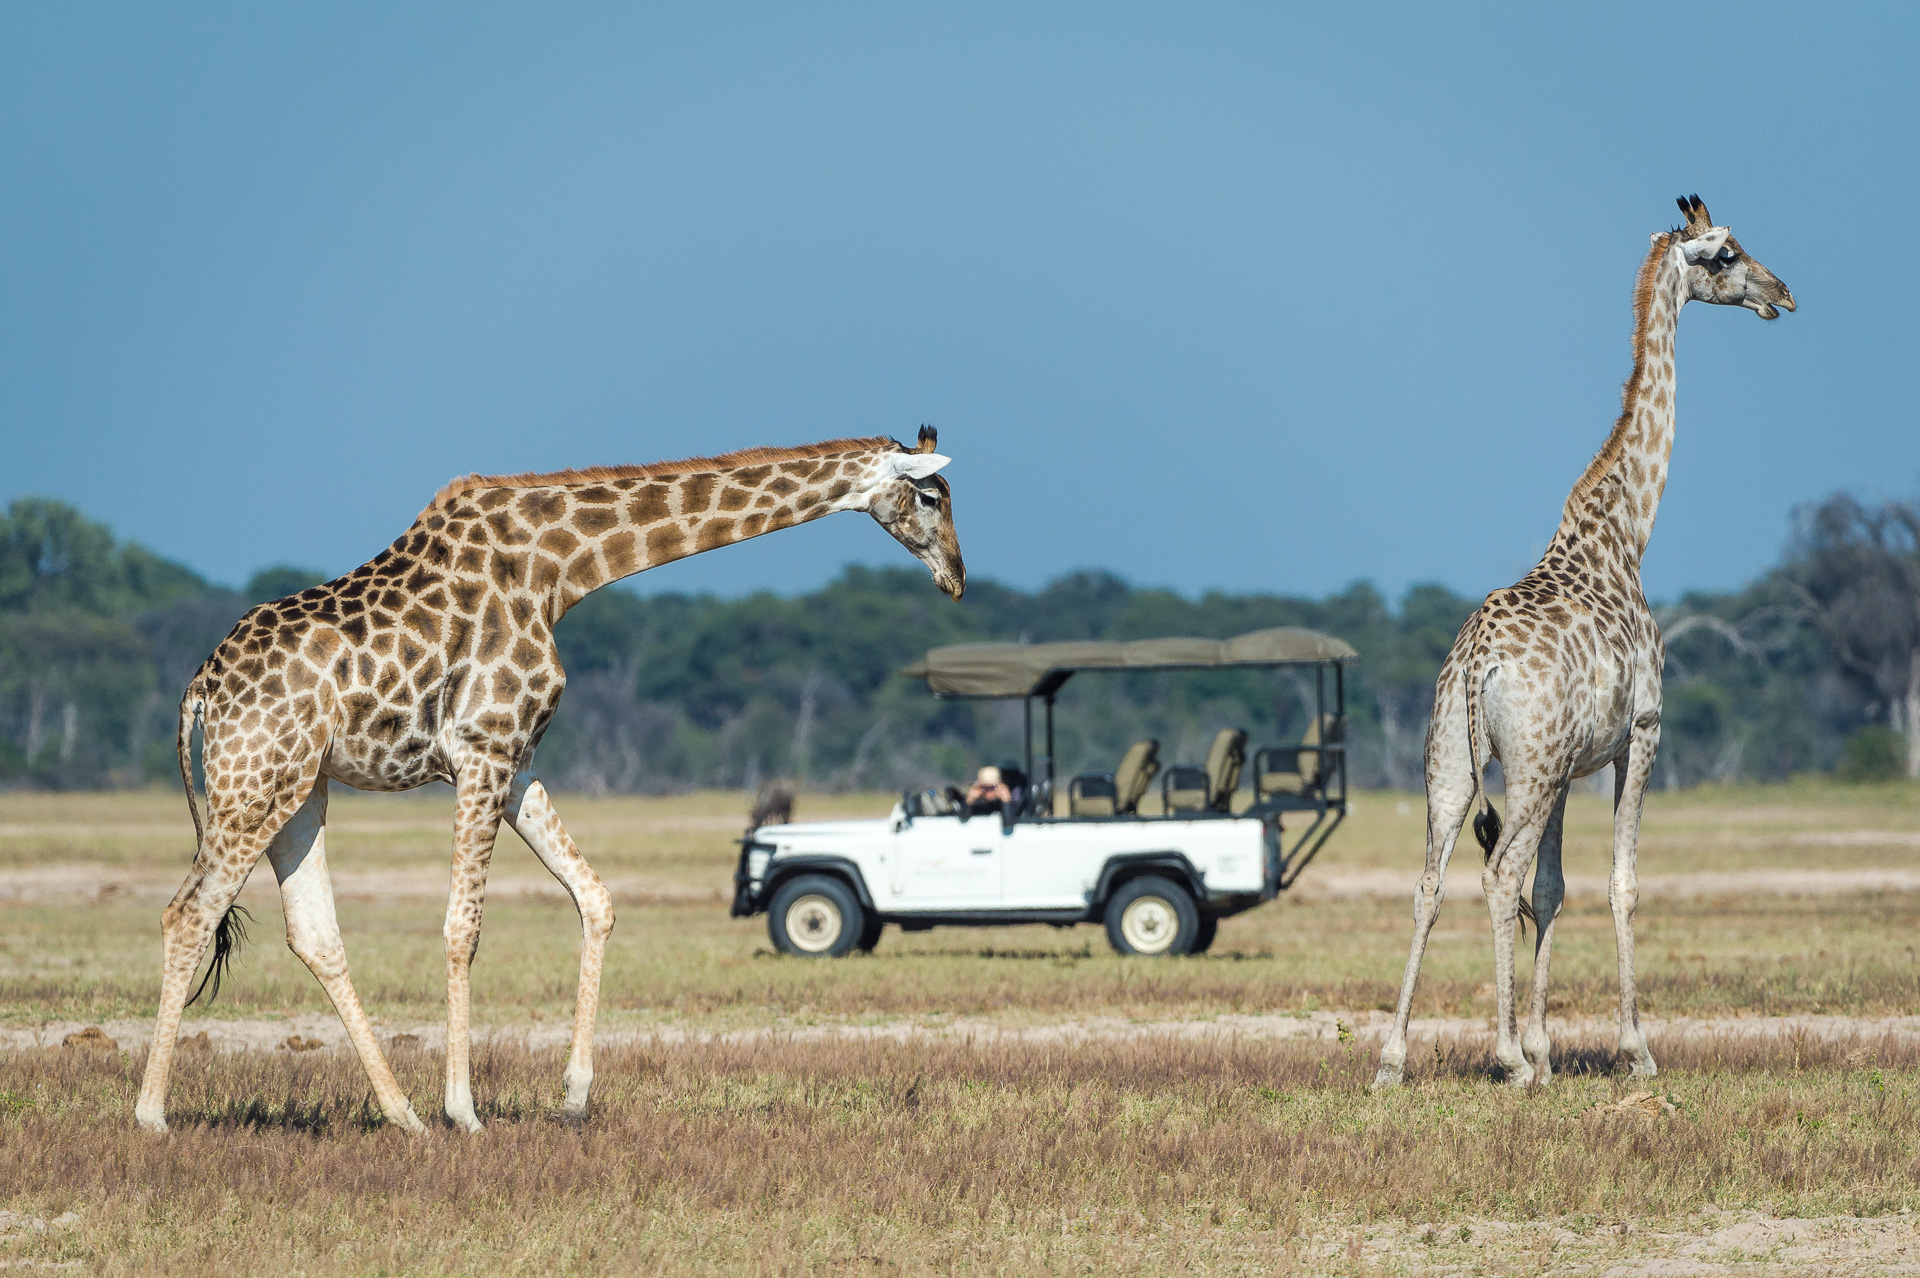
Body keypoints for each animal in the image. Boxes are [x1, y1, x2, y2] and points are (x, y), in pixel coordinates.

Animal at [134, 429, 964, 1134]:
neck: (561, 571)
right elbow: (462, 927)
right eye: (931, 496)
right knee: (188, 914)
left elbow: (595, 899)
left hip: (300, 788)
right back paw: (152, 1117)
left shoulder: (518, 763)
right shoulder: (481, 751)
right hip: (255, 781)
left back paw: (401, 1115)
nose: (956, 577)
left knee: (312, 934)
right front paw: (466, 1112)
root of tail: (202, 688)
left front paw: (573, 1095)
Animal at [1372, 197, 1794, 1090]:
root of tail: (1477, 663)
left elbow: (1553, 886)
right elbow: (1619, 882)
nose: (1782, 293)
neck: (1628, 532)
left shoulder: (1570, 765)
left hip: (1451, 760)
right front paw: (1631, 1050)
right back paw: (1501, 1057)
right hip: (1524, 766)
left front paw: (1545, 1047)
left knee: (1432, 880)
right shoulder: (1643, 732)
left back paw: (1394, 1059)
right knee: (1495, 872)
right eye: (1727, 254)